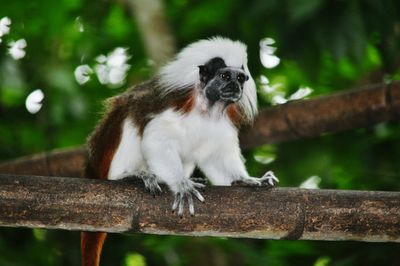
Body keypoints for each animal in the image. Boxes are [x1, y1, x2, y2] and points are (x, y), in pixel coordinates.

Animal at [81, 37, 278, 266]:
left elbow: (216, 157)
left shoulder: (221, 125)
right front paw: (181, 184)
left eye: (240, 78)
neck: (206, 109)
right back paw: (129, 175)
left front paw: (246, 180)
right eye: (225, 76)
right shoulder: (174, 107)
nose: (235, 87)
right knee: (131, 114)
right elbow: (156, 138)